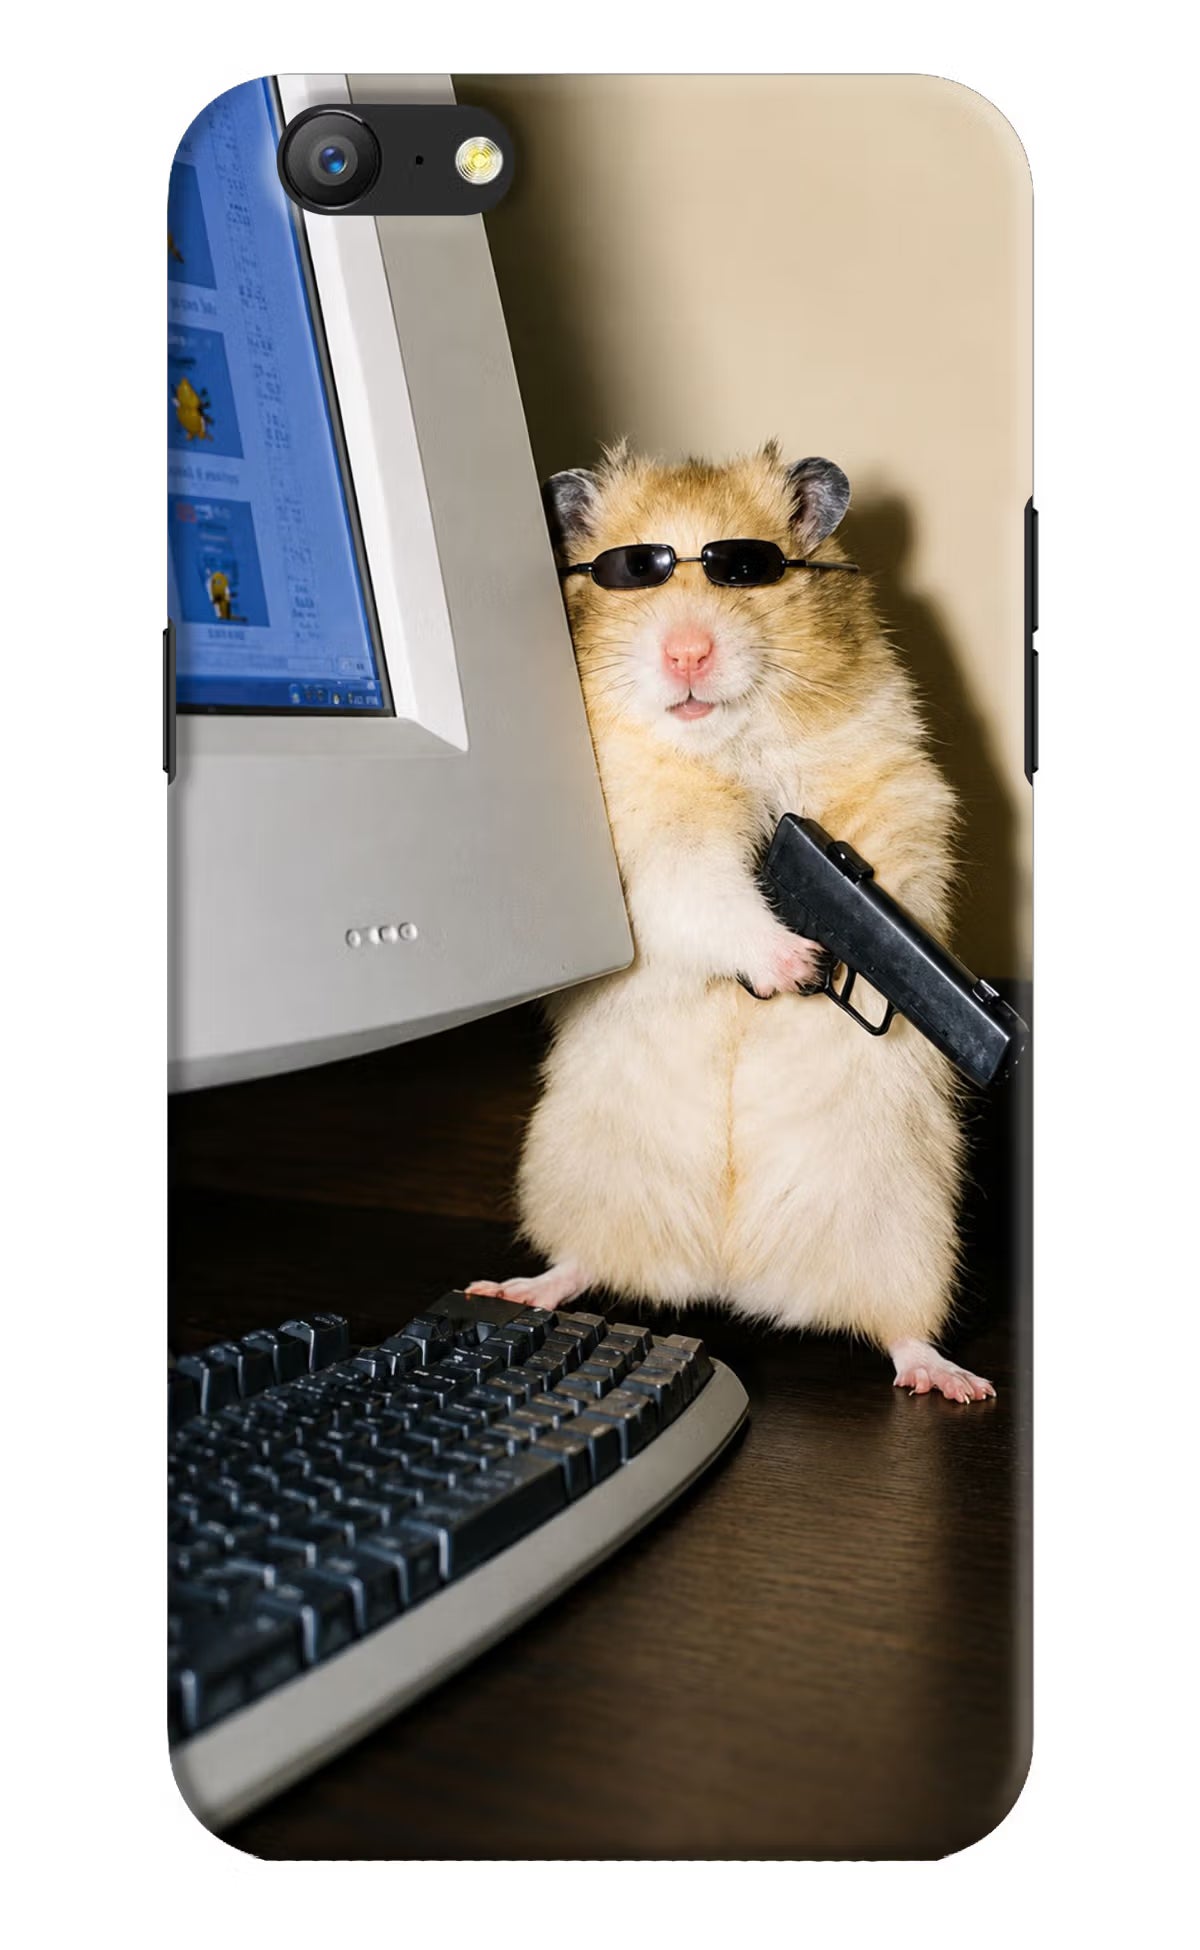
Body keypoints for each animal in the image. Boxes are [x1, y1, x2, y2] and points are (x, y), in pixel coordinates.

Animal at [468, 442, 993, 1402]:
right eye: (633, 572)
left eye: (746, 570)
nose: (686, 653)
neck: (724, 746)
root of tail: (730, 1276)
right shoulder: (647, 852)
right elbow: (708, 896)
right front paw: (797, 964)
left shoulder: (895, 791)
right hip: (579, 1176)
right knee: (582, 1263)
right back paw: (515, 1288)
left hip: (907, 1229)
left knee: (900, 1329)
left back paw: (954, 1382)